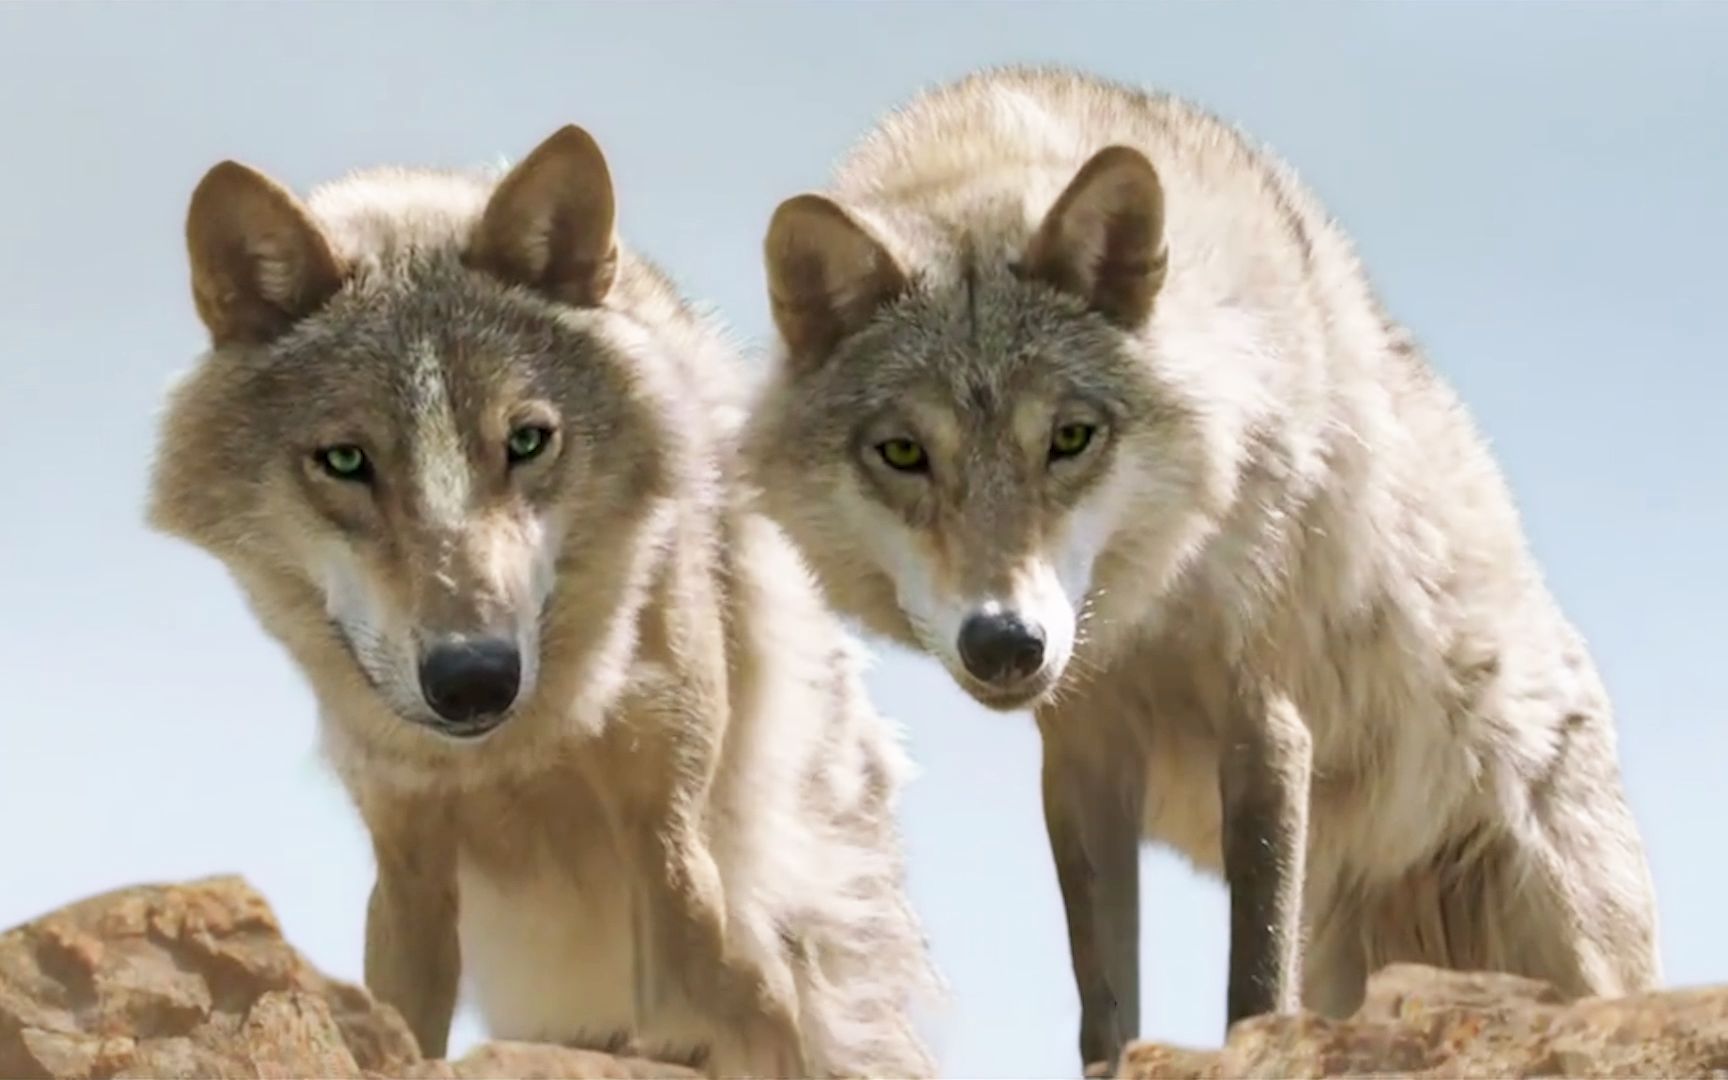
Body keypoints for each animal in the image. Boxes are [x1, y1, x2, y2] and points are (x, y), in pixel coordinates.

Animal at [145, 121, 946, 1071]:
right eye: (344, 460)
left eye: (527, 441)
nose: (474, 678)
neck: (518, 755)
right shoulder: (407, 860)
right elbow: (400, 1023)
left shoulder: (674, 854)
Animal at [743, 65, 1658, 1071]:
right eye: (905, 453)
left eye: (1071, 438)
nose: (1005, 643)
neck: (1157, 606)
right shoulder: (1084, 753)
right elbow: (1104, 1005)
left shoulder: (1268, 722)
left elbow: (1253, 981)